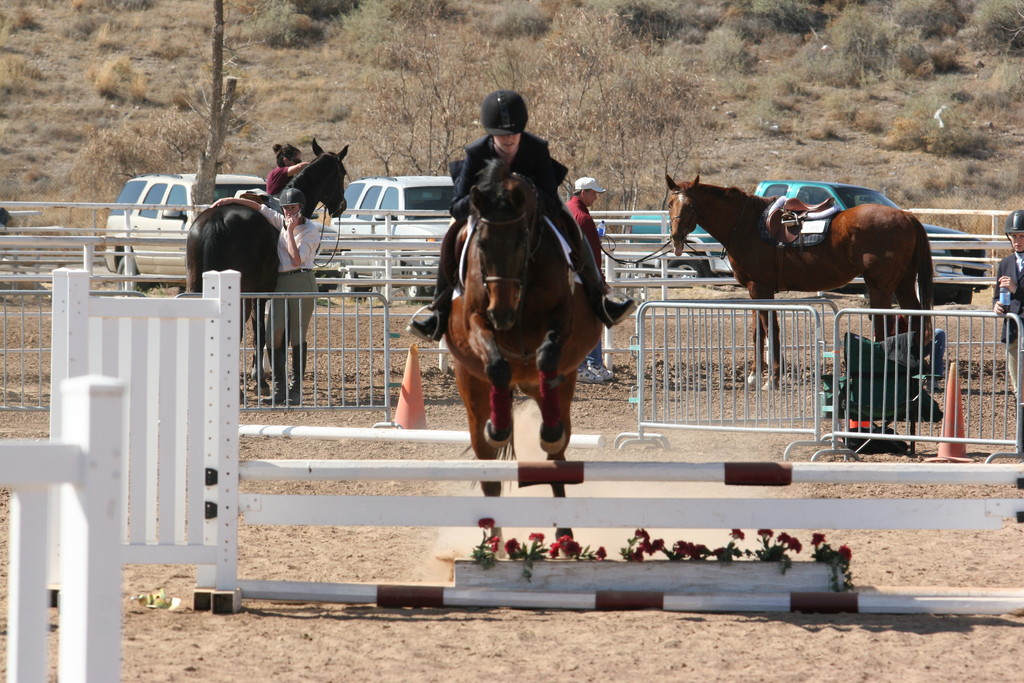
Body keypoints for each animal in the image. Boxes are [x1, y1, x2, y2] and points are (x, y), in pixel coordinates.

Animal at [446, 158, 602, 532]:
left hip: (553, 392)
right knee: (488, 468)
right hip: (473, 399)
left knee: (556, 455)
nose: (501, 313)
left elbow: (547, 354)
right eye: (481, 245)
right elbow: (496, 363)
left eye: (521, 242)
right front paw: (501, 427)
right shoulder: (475, 320)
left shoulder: (563, 316)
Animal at [667, 176, 933, 387]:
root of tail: (907, 217)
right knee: (916, 318)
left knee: (884, 324)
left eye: (691, 205)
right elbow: (757, 331)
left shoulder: (761, 288)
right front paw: (754, 376)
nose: (676, 237)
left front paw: (773, 379)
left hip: (881, 286)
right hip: (903, 284)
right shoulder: (753, 289)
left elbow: (770, 329)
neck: (745, 225)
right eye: (670, 203)